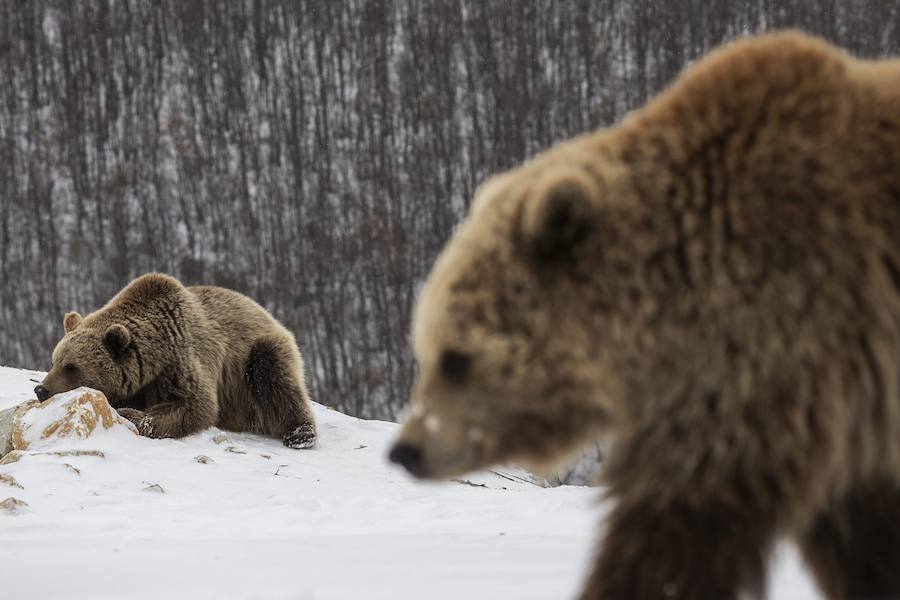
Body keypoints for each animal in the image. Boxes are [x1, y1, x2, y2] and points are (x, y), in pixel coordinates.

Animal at [37, 274, 318, 448]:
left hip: (254, 355)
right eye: (53, 361)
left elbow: (195, 405)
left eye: (72, 366)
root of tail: (269, 315)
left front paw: (130, 414)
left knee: (274, 375)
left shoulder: (179, 362)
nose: (41, 389)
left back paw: (300, 434)